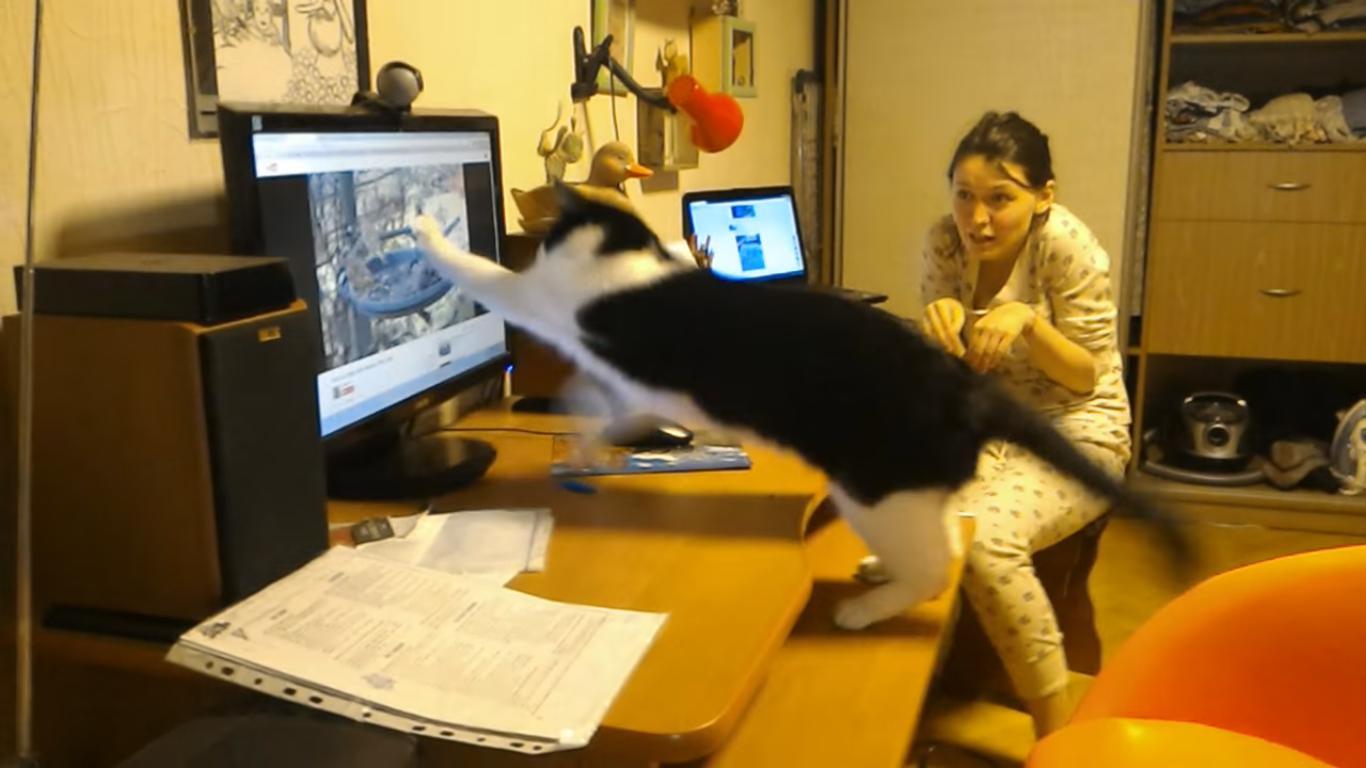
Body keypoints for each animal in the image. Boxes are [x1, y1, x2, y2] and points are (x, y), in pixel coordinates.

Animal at [415, 185, 1174, 628]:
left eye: (543, 236)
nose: (543, 236)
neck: (627, 251)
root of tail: (969, 385)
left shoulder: (538, 300)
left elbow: (482, 272)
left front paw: (425, 228)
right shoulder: (627, 387)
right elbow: (597, 406)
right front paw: (582, 450)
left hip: (874, 487)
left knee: (937, 567)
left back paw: (865, 610)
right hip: (908, 491)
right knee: (951, 540)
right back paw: (878, 573)